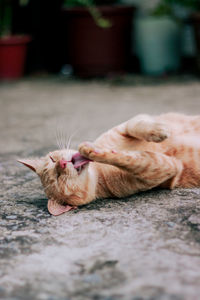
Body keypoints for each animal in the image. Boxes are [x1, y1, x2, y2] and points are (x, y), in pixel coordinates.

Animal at [18, 113, 200, 216]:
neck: (98, 170)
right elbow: (130, 159)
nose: (62, 164)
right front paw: (94, 151)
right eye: (58, 179)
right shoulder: (164, 167)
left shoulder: (129, 124)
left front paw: (159, 130)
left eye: (52, 160)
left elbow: (136, 125)